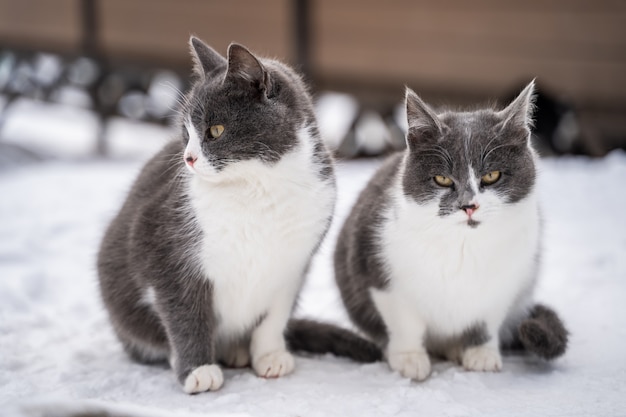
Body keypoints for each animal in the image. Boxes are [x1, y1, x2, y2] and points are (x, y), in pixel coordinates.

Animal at [97, 36, 380, 394]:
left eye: (215, 130)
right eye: (185, 132)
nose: (188, 159)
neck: (258, 187)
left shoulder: (295, 260)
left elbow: (275, 314)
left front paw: (270, 355)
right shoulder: (163, 244)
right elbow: (183, 311)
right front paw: (197, 368)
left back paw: (238, 350)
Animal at [334, 81, 568, 380]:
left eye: (491, 175)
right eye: (442, 179)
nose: (468, 205)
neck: (463, 244)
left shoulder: (508, 281)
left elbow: (486, 318)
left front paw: (481, 352)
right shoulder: (378, 270)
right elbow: (404, 321)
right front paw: (409, 358)